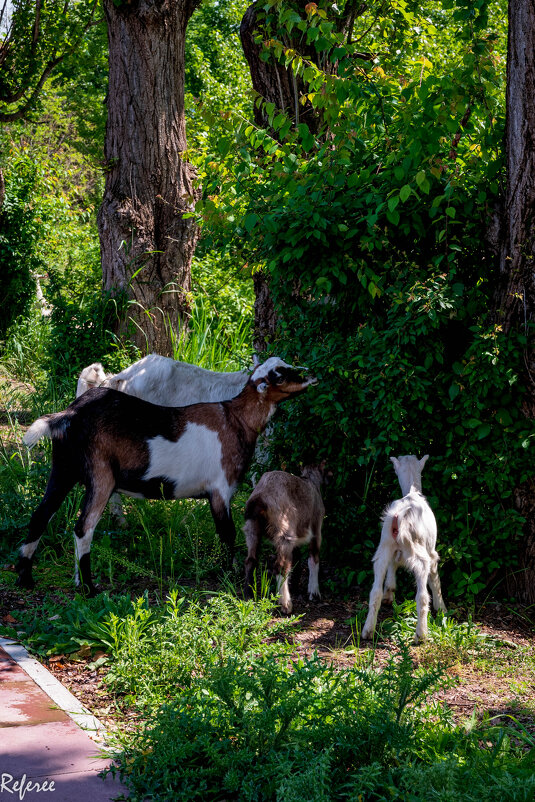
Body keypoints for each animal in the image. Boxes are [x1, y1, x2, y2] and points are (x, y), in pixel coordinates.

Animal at [18, 356, 316, 592]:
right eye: (280, 374)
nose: (311, 374)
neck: (235, 419)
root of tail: (69, 414)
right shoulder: (220, 488)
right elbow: (227, 533)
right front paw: (229, 575)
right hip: (100, 477)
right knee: (83, 528)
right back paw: (89, 588)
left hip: (63, 470)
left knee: (40, 516)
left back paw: (27, 579)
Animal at [244, 462, 326, 612]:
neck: (310, 481)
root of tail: (260, 496)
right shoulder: (316, 529)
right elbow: (313, 558)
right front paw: (314, 592)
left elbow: (298, 560)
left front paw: (297, 585)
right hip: (284, 531)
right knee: (280, 566)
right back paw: (285, 604)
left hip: (252, 528)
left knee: (250, 560)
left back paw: (248, 597)